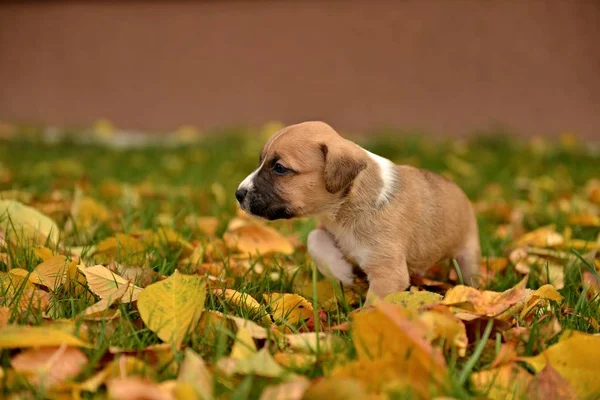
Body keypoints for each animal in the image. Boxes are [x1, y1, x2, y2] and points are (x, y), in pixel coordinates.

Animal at [236, 121, 482, 300]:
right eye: (261, 161)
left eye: (279, 168)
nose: (238, 194)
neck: (345, 210)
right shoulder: (328, 228)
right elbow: (314, 237)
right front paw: (341, 273)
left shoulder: (388, 275)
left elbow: (375, 309)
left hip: (468, 254)